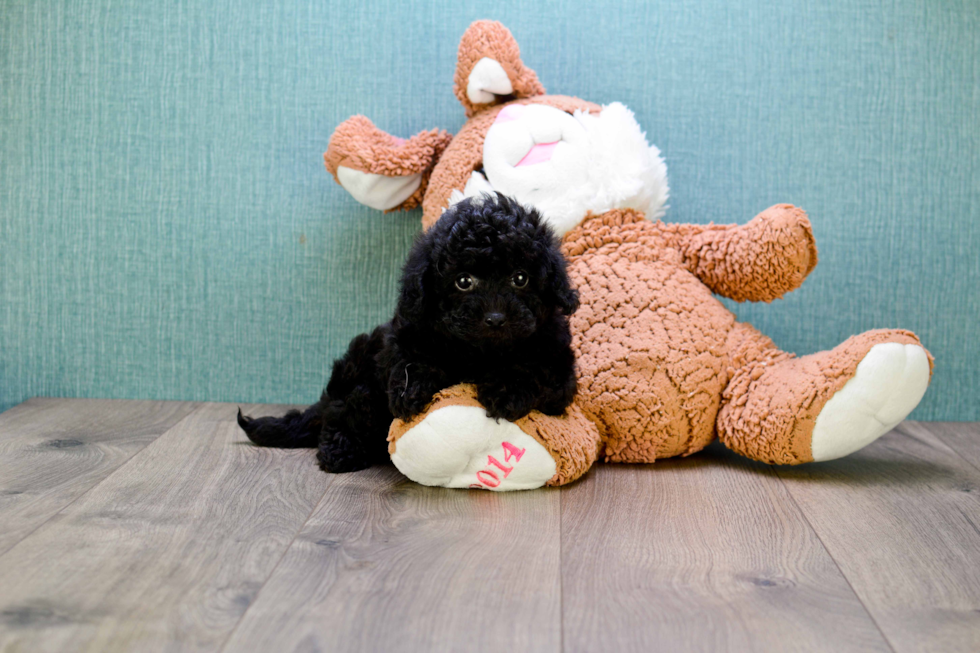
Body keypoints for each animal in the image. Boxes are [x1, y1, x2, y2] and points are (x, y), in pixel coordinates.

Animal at [238, 191, 580, 472]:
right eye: (463, 281)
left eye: (520, 278)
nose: (495, 319)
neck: (479, 353)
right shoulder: (407, 332)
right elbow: (410, 357)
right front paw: (411, 389)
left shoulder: (559, 370)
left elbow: (533, 366)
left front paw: (506, 389)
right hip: (359, 387)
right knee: (343, 415)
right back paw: (341, 451)